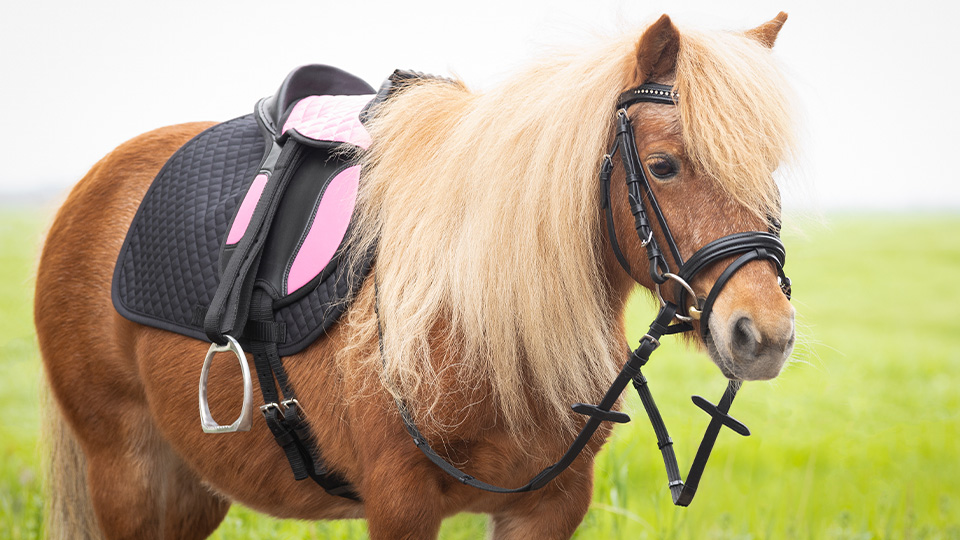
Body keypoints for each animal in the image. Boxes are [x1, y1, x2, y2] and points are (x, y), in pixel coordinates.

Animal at [35, 12, 798, 539]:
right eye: (665, 166)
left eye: (769, 169)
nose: (764, 333)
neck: (480, 309)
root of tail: (95, 184)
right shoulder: (400, 501)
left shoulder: (548, 507)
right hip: (131, 475)